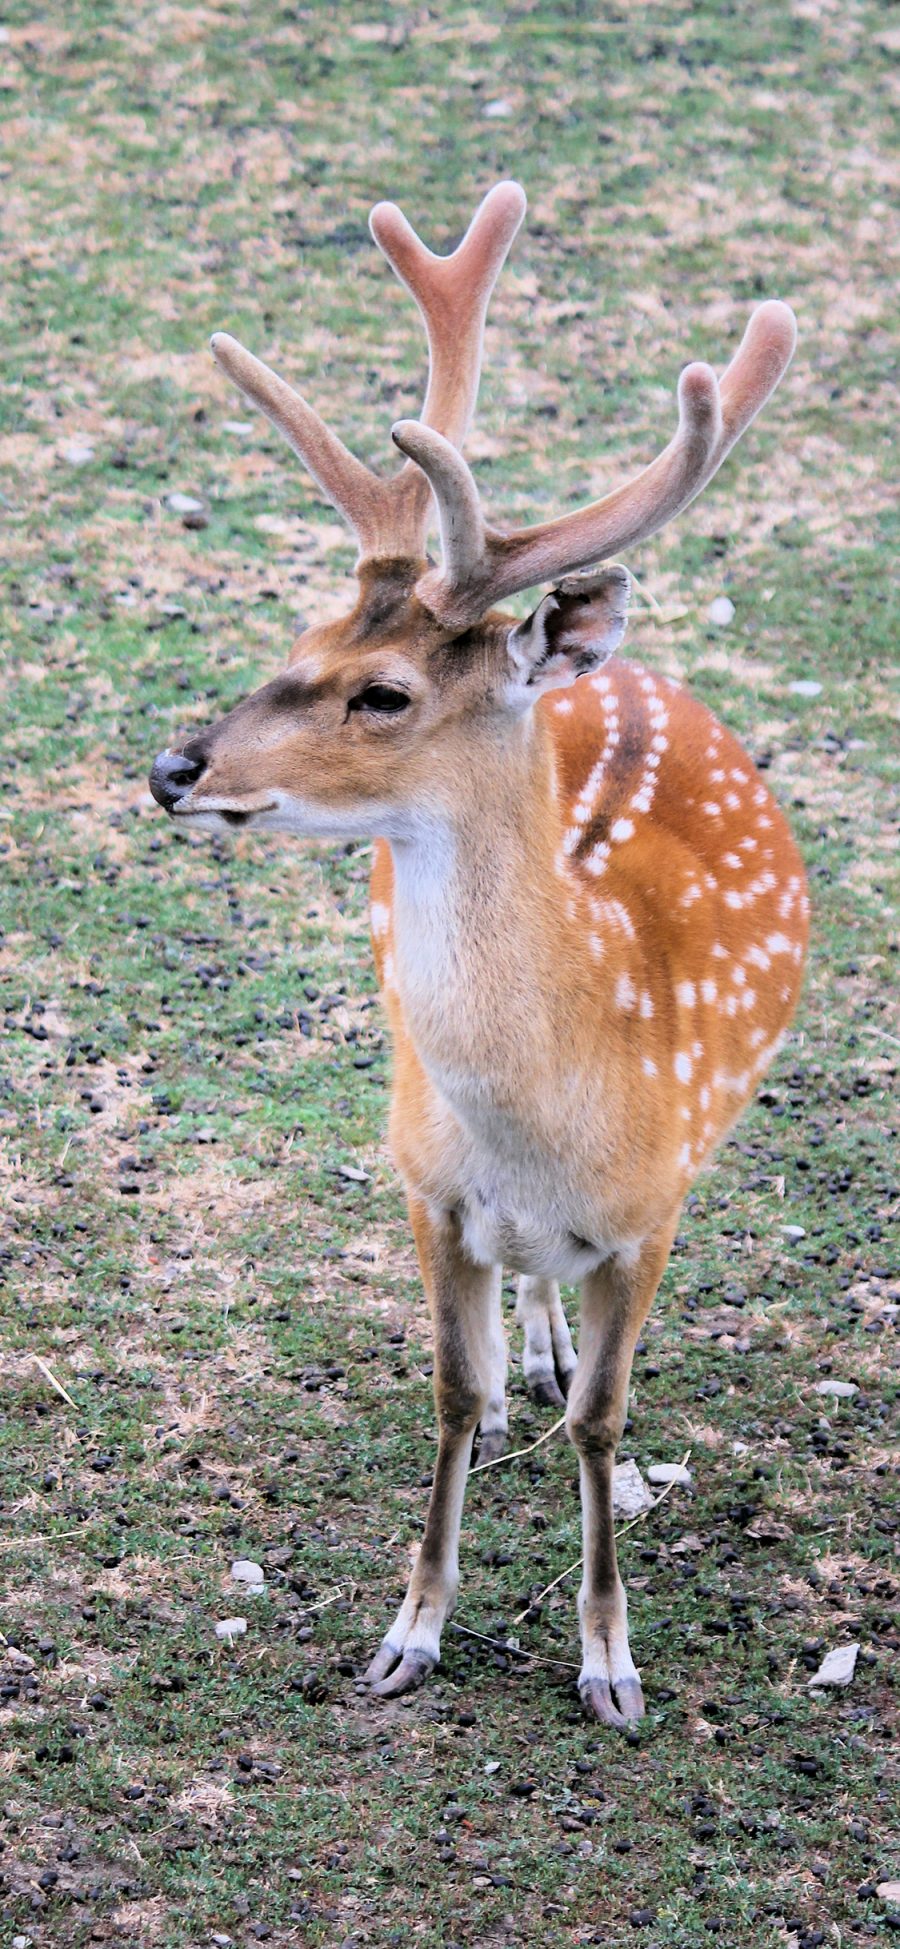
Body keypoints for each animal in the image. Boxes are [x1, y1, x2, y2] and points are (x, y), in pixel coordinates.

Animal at [149, 190, 810, 1730]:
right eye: (302, 635)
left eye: (383, 693)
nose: (173, 767)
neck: (551, 1115)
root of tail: (619, 666)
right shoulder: (425, 1179)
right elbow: (447, 1394)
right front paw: (411, 1631)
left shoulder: (654, 1207)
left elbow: (608, 1420)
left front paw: (611, 1661)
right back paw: (526, 1357)